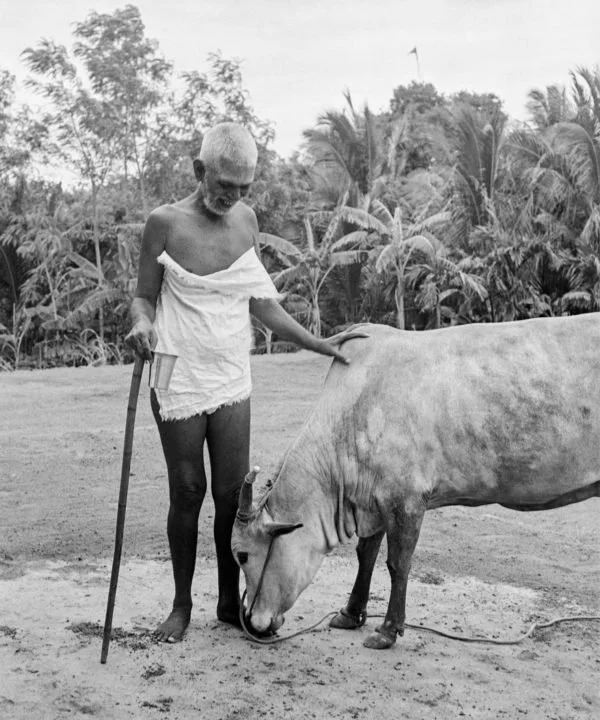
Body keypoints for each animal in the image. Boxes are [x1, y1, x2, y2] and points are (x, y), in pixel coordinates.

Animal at [231, 314, 600, 649]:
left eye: (242, 556)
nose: (250, 619)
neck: (354, 406)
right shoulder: (373, 499)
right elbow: (366, 555)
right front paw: (351, 614)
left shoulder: (405, 500)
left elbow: (397, 564)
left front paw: (388, 630)